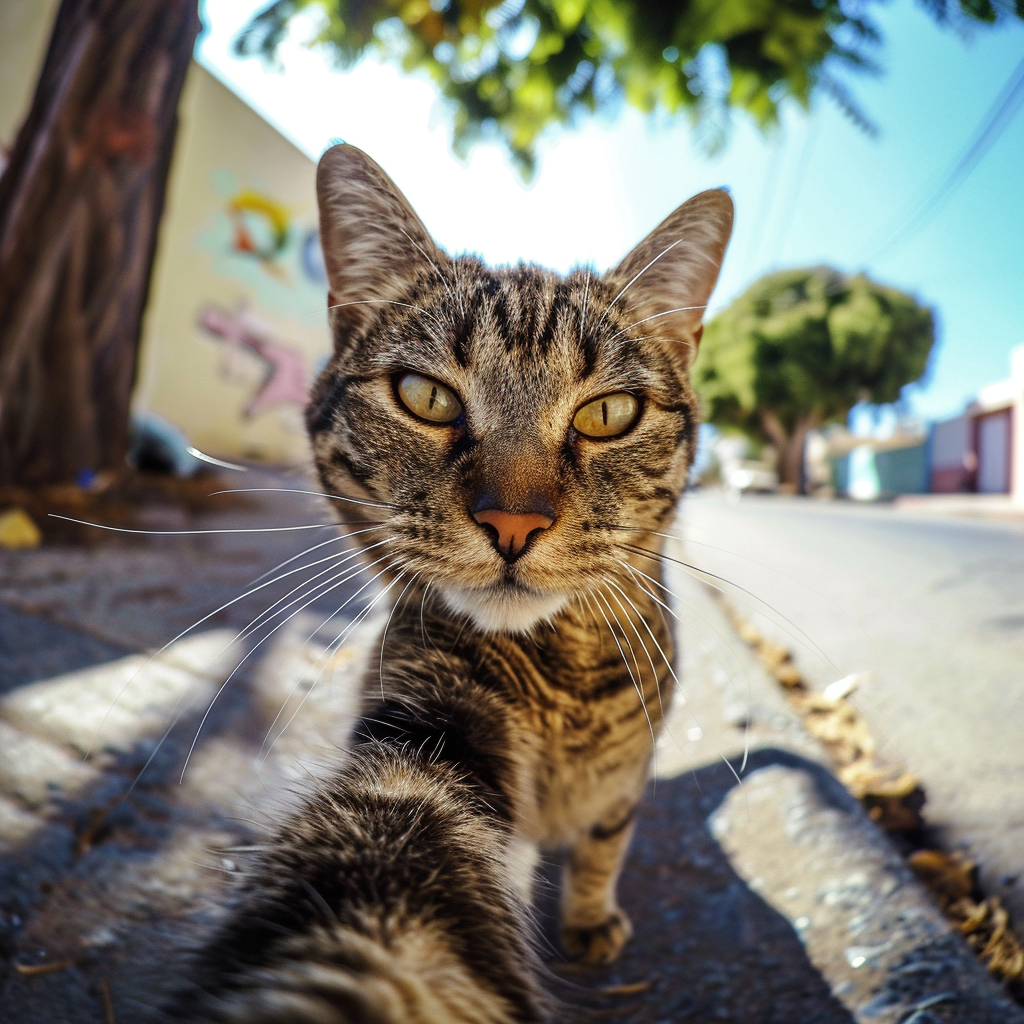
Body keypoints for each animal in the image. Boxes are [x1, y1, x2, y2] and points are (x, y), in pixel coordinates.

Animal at [163, 146, 733, 1024]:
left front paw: (591, 915)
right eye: (425, 397)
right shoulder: (428, 714)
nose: (513, 522)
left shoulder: (625, 779)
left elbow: (606, 841)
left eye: (608, 413)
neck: (564, 685)